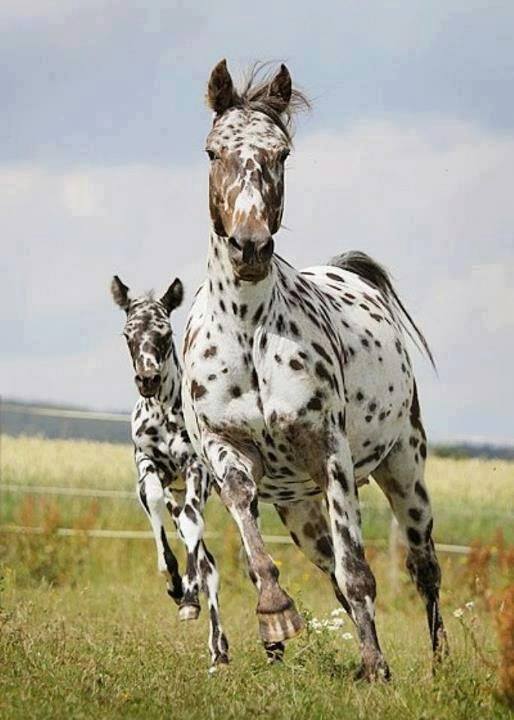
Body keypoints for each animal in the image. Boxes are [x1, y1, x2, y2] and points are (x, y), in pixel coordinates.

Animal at [111, 276, 228, 668]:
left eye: (165, 333)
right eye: (128, 334)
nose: (147, 379)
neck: (163, 414)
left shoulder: (195, 470)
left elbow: (193, 527)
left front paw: (188, 599)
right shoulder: (147, 466)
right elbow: (153, 503)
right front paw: (173, 582)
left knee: (207, 564)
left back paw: (218, 647)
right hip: (175, 492)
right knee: (207, 563)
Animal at [180, 62, 444, 680]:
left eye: (281, 153)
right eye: (212, 151)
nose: (250, 247)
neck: (249, 333)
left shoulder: (329, 452)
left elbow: (359, 571)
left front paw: (377, 671)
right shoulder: (226, 448)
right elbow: (248, 522)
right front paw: (276, 617)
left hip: (404, 470)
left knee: (424, 568)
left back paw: (436, 665)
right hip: (298, 508)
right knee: (334, 575)